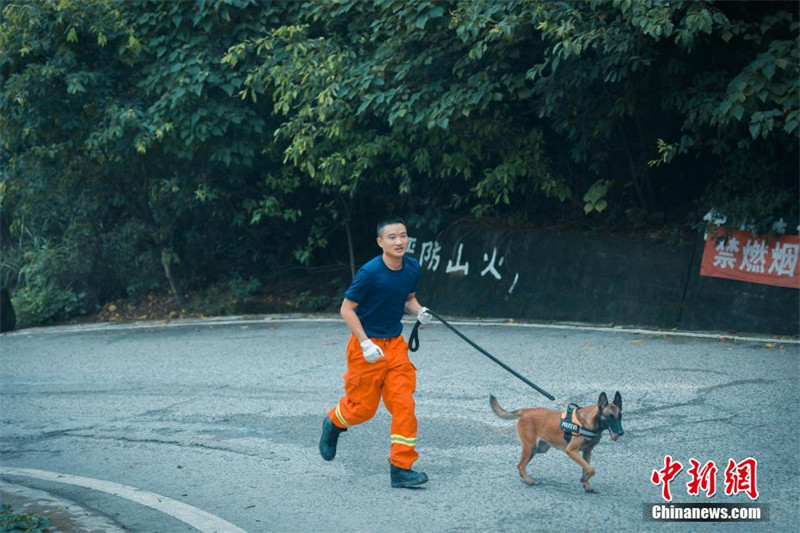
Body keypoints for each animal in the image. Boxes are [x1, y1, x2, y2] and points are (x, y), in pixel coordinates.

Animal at [488, 390, 624, 490]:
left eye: (620, 416)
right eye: (609, 417)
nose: (621, 433)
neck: (589, 423)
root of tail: (525, 410)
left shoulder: (587, 452)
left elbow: (586, 469)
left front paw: (586, 484)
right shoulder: (571, 451)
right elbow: (591, 469)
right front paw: (584, 480)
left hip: (539, 449)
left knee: (520, 465)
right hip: (531, 447)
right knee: (521, 465)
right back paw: (529, 481)